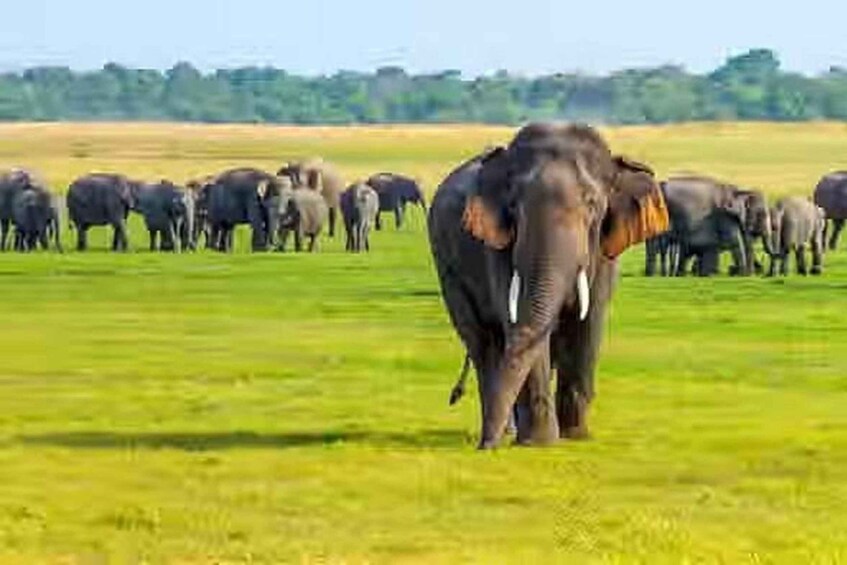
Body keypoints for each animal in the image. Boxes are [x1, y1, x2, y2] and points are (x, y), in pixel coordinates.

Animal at [428, 123, 669, 449]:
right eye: (514, 206)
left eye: (592, 204)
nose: (483, 448)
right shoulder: (498, 245)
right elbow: (520, 322)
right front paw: (541, 443)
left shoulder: (604, 250)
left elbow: (588, 325)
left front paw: (576, 437)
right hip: (447, 266)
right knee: (484, 343)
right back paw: (505, 431)